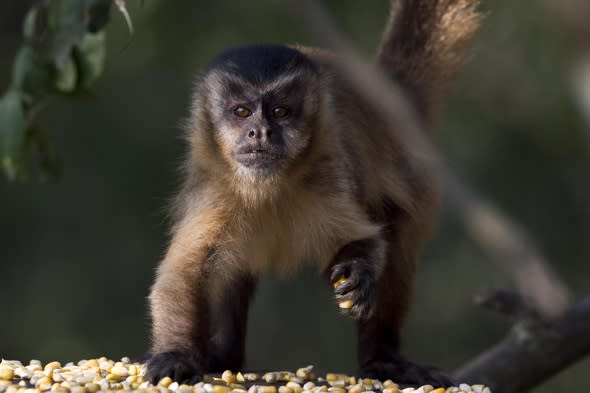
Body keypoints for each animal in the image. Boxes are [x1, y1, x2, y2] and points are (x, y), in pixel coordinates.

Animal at [147, 0, 480, 386]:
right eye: (242, 112)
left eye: (280, 112)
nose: (259, 132)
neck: (269, 188)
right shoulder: (214, 191)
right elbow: (184, 273)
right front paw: (176, 355)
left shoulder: (327, 175)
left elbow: (366, 241)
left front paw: (357, 275)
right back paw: (222, 358)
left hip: (415, 176)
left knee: (396, 242)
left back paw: (383, 359)